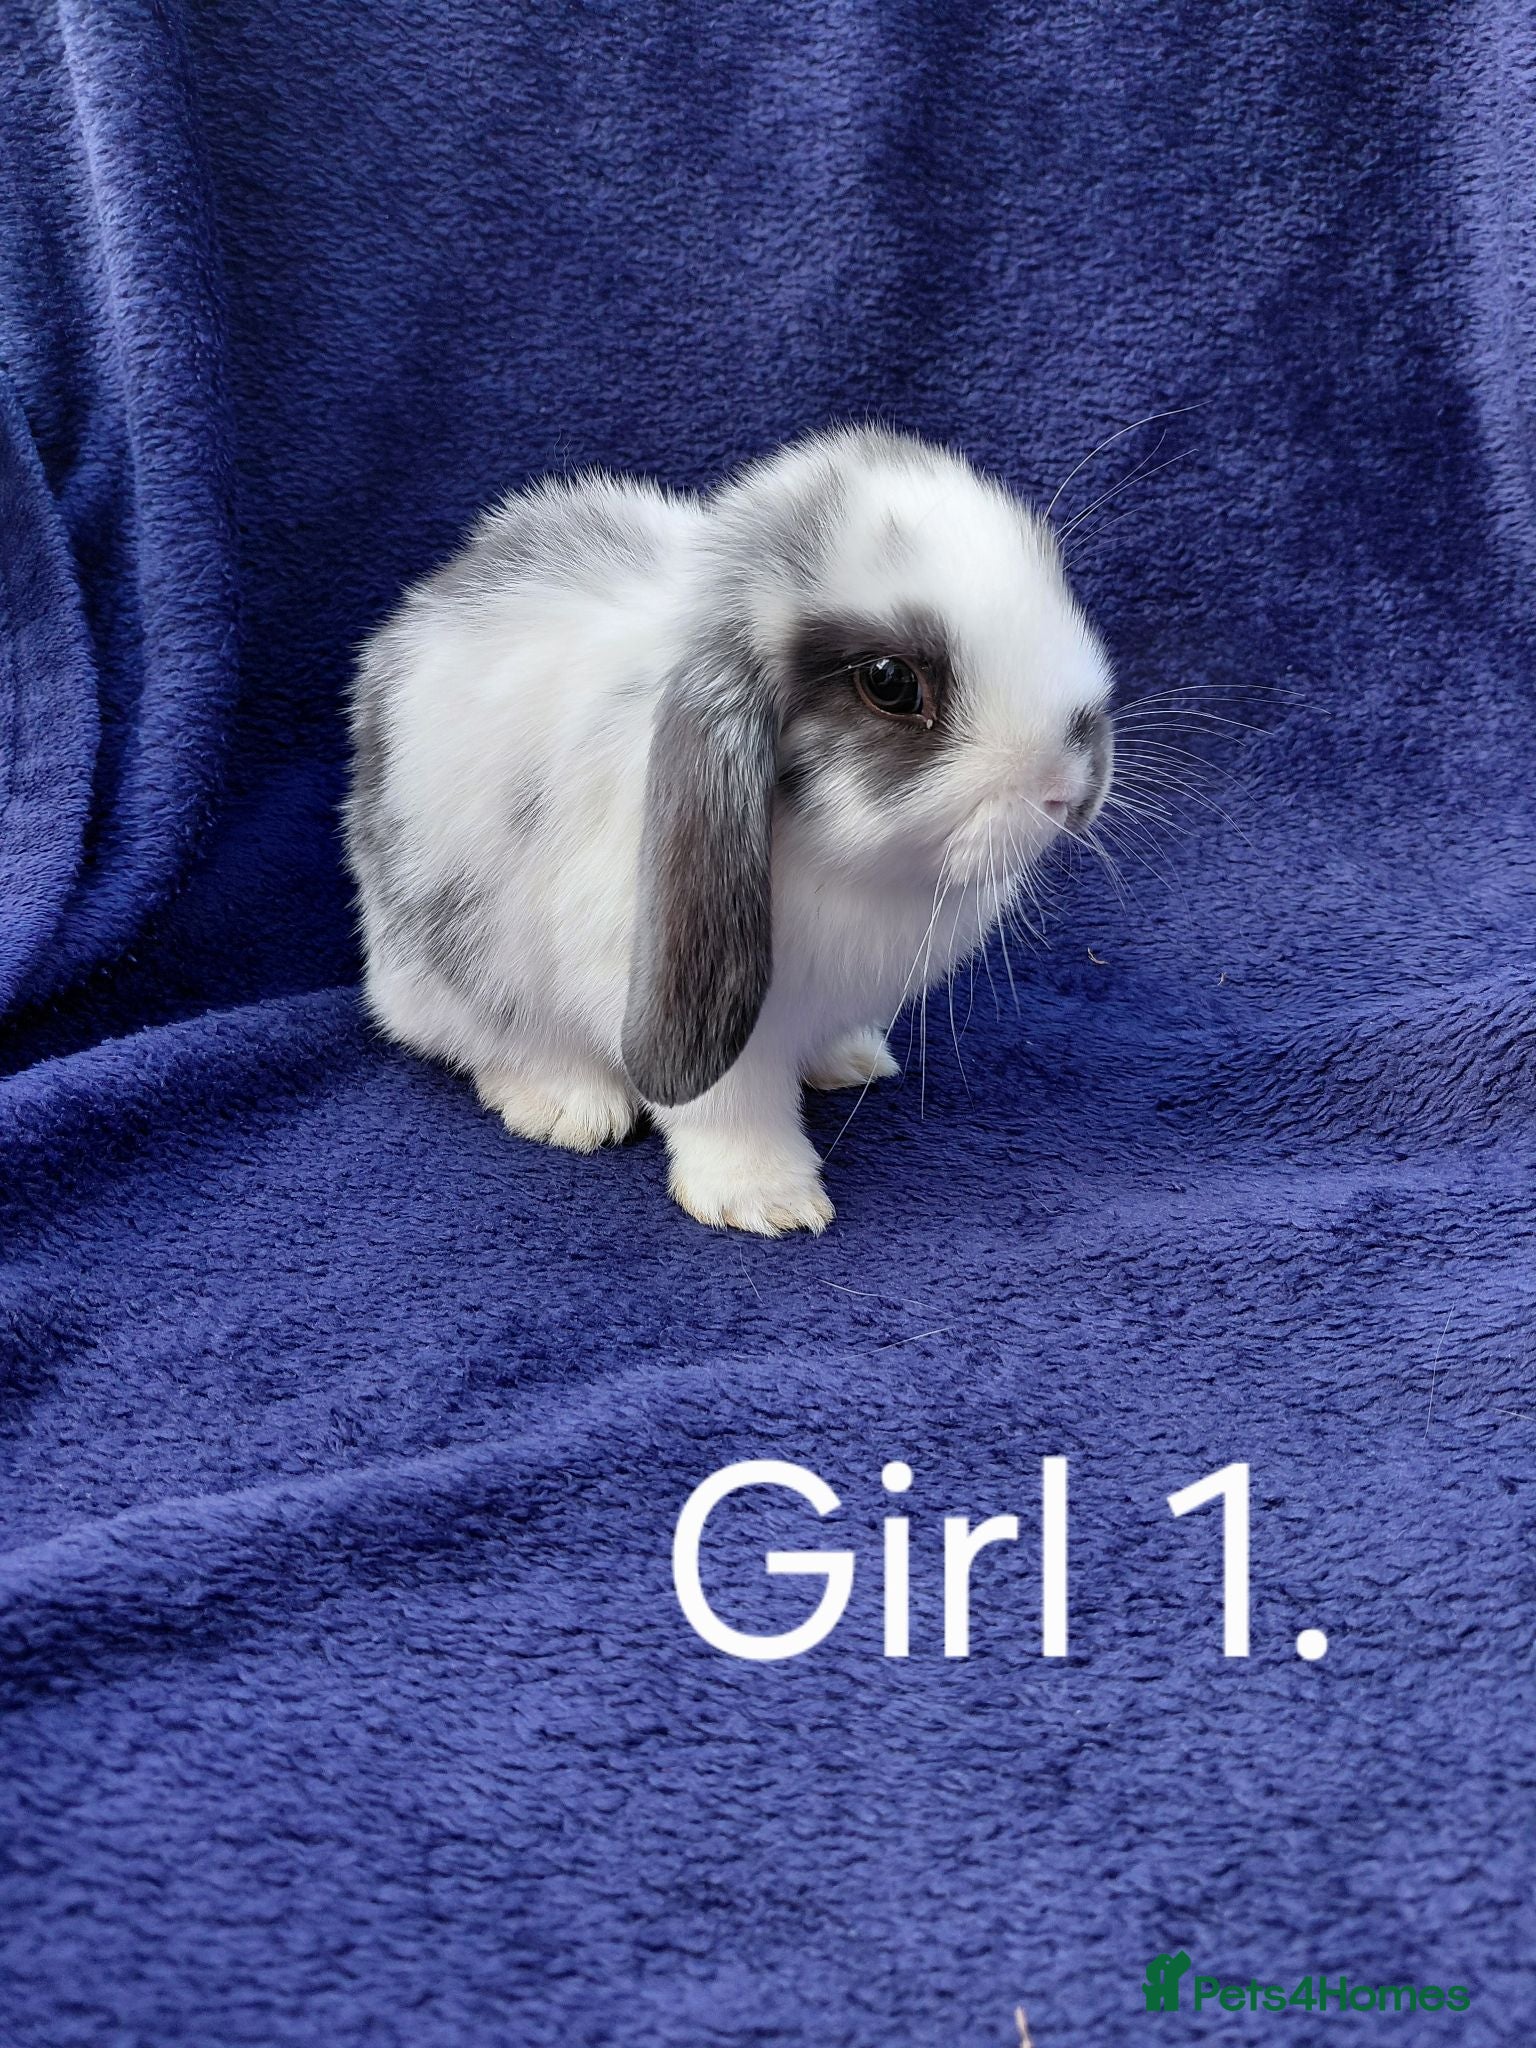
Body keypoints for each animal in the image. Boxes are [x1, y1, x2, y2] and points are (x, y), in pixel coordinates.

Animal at [344, 426, 1113, 1235]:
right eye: (891, 682)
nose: (1072, 785)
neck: (857, 877)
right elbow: (728, 1106)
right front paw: (767, 1200)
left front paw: (844, 1063)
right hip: (463, 966)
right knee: (479, 1037)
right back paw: (567, 1107)